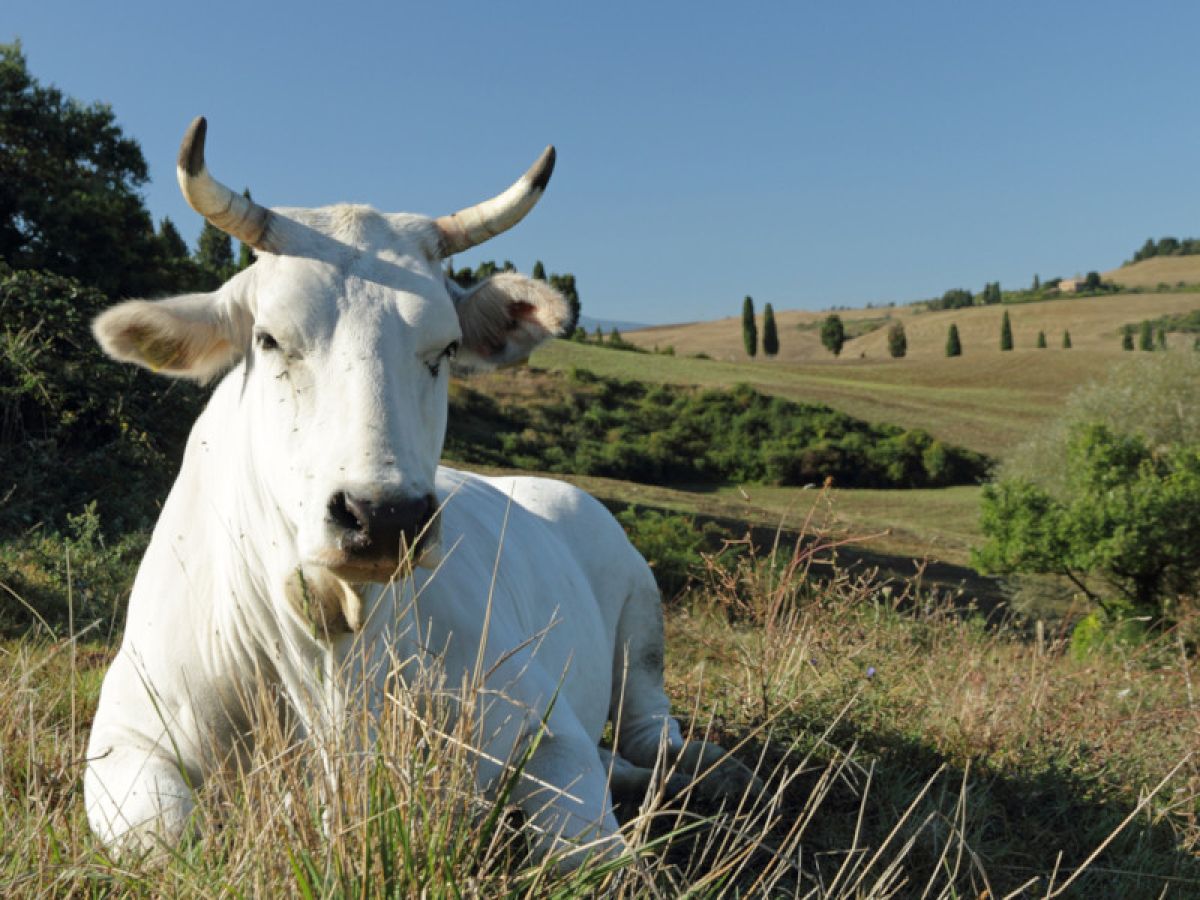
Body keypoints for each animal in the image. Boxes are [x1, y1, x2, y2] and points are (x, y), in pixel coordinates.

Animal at [84, 117, 760, 870]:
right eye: (269, 338)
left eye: (445, 348)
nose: (384, 516)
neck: (329, 638)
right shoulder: (125, 744)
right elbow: (169, 845)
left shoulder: (541, 726)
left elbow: (586, 855)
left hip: (641, 619)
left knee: (649, 728)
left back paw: (711, 770)